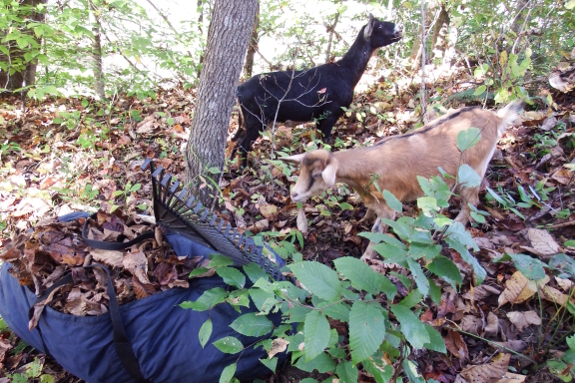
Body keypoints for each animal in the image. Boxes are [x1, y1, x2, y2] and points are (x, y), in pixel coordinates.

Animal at [232, 13, 402, 165]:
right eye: (379, 25)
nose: (399, 27)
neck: (347, 74)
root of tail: (239, 90)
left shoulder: (320, 116)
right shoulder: (331, 111)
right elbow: (325, 142)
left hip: (246, 119)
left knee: (234, 141)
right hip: (257, 116)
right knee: (242, 145)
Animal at [282, 102, 524, 258]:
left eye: (317, 175)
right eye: (301, 170)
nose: (294, 194)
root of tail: (496, 118)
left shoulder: (390, 206)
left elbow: (378, 231)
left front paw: (365, 259)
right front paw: (360, 221)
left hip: (471, 172)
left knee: (471, 202)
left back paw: (451, 227)